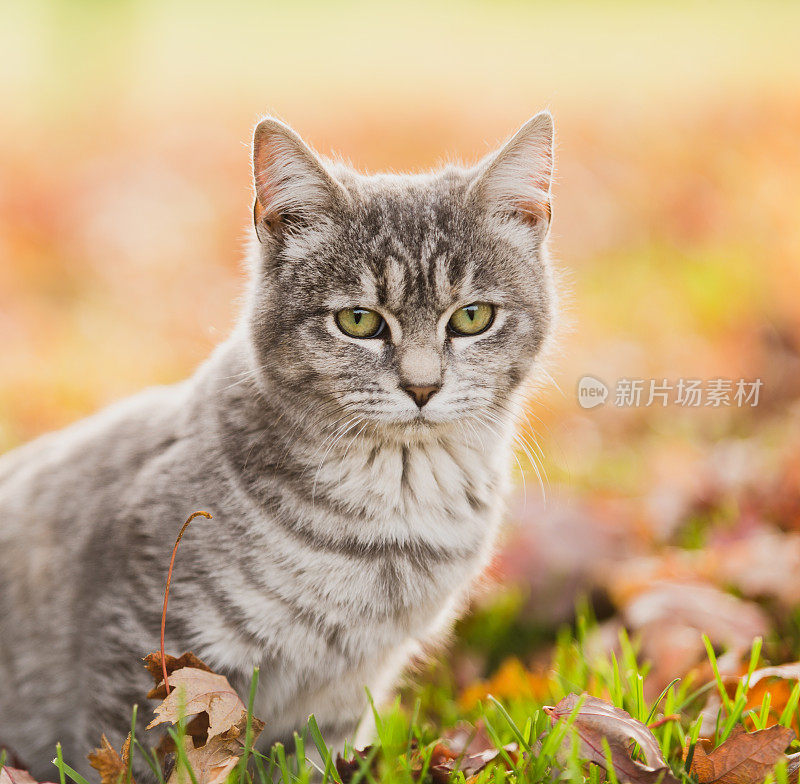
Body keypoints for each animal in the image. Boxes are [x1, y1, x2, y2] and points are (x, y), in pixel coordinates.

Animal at [0, 113, 556, 780]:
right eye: (359, 321)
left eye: (472, 317)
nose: (422, 386)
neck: (389, 518)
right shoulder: (144, 663)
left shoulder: (340, 701)